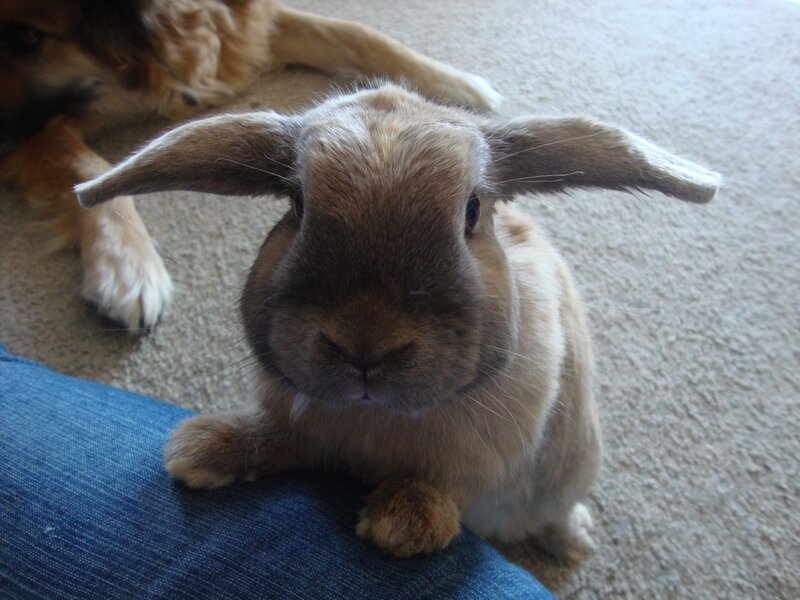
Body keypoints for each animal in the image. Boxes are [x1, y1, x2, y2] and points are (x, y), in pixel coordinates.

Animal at [75, 83, 721, 559]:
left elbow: (446, 487)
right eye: (296, 205)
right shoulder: (304, 430)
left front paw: (404, 521)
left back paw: (574, 541)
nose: (366, 345)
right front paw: (202, 452)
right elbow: (279, 440)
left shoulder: (482, 461)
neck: (375, 421)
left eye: (472, 211)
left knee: (550, 510)